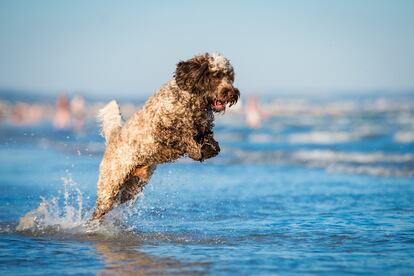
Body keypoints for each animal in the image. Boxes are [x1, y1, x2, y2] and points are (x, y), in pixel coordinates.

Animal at [90, 52, 239, 220]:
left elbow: (208, 138)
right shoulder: (161, 129)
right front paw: (196, 151)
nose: (233, 93)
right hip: (111, 183)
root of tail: (114, 135)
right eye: (216, 75)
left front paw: (209, 149)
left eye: (230, 77)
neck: (190, 101)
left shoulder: (203, 127)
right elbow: (183, 137)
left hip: (131, 188)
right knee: (101, 207)